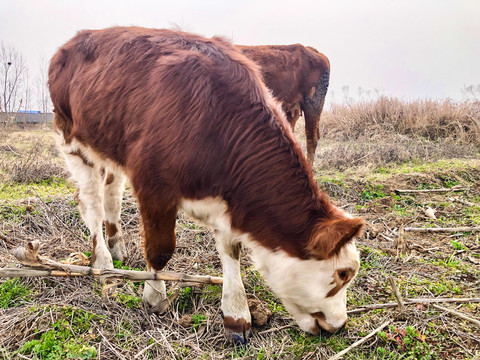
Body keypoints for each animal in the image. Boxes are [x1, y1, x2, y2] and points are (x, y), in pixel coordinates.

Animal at [49, 26, 364, 344]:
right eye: (343, 274)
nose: (340, 325)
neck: (218, 127)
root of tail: (78, 38)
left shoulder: (227, 200)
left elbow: (231, 249)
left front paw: (236, 314)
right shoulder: (154, 186)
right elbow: (160, 249)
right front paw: (155, 297)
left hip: (112, 145)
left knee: (112, 192)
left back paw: (117, 245)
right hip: (72, 138)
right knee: (92, 202)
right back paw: (102, 261)